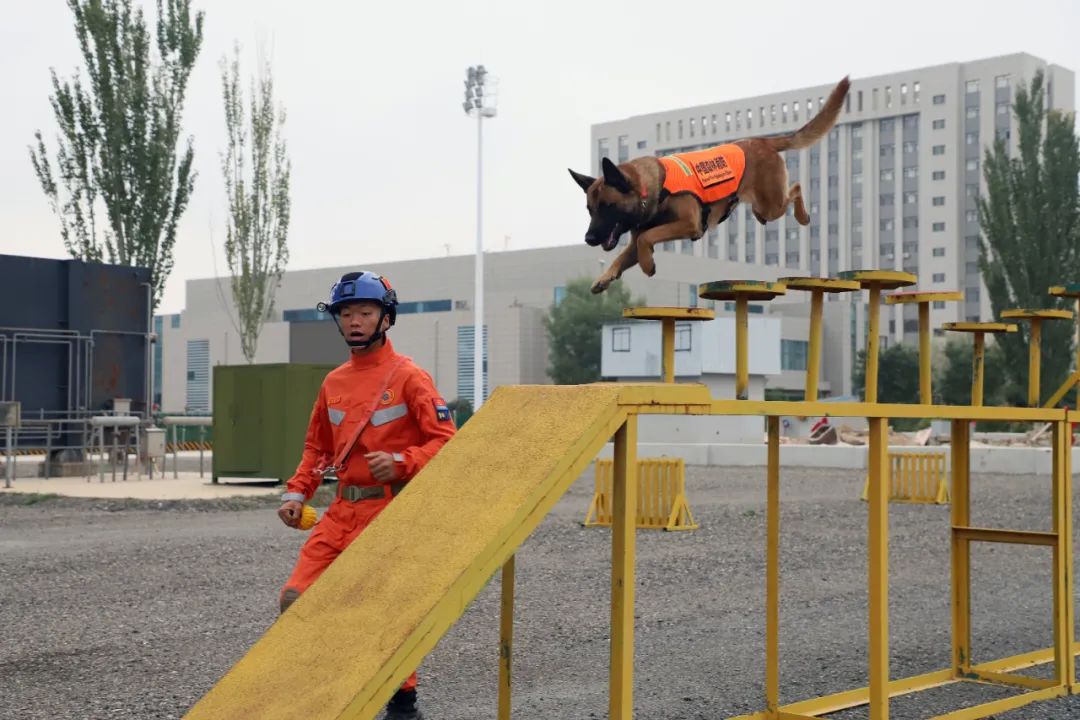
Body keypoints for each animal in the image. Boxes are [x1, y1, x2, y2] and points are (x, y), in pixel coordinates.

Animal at [574, 76, 851, 293]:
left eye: (608, 206)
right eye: (590, 210)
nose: (588, 239)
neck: (652, 188)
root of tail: (764, 141)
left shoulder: (689, 224)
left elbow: (647, 238)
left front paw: (647, 264)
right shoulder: (634, 242)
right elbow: (624, 253)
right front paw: (605, 276)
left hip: (772, 204)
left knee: (795, 189)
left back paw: (803, 216)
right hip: (761, 204)